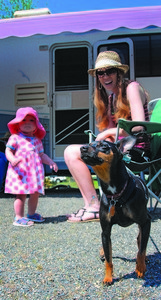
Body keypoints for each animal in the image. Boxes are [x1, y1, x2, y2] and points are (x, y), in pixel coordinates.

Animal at [80, 137, 151, 284]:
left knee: (141, 240)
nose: (82, 148)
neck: (115, 195)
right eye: (89, 144)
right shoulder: (106, 230)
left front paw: (140, 268)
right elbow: (109, 258)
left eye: (104, 146)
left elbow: (141, 249)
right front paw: (108, 277)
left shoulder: (146, 222)